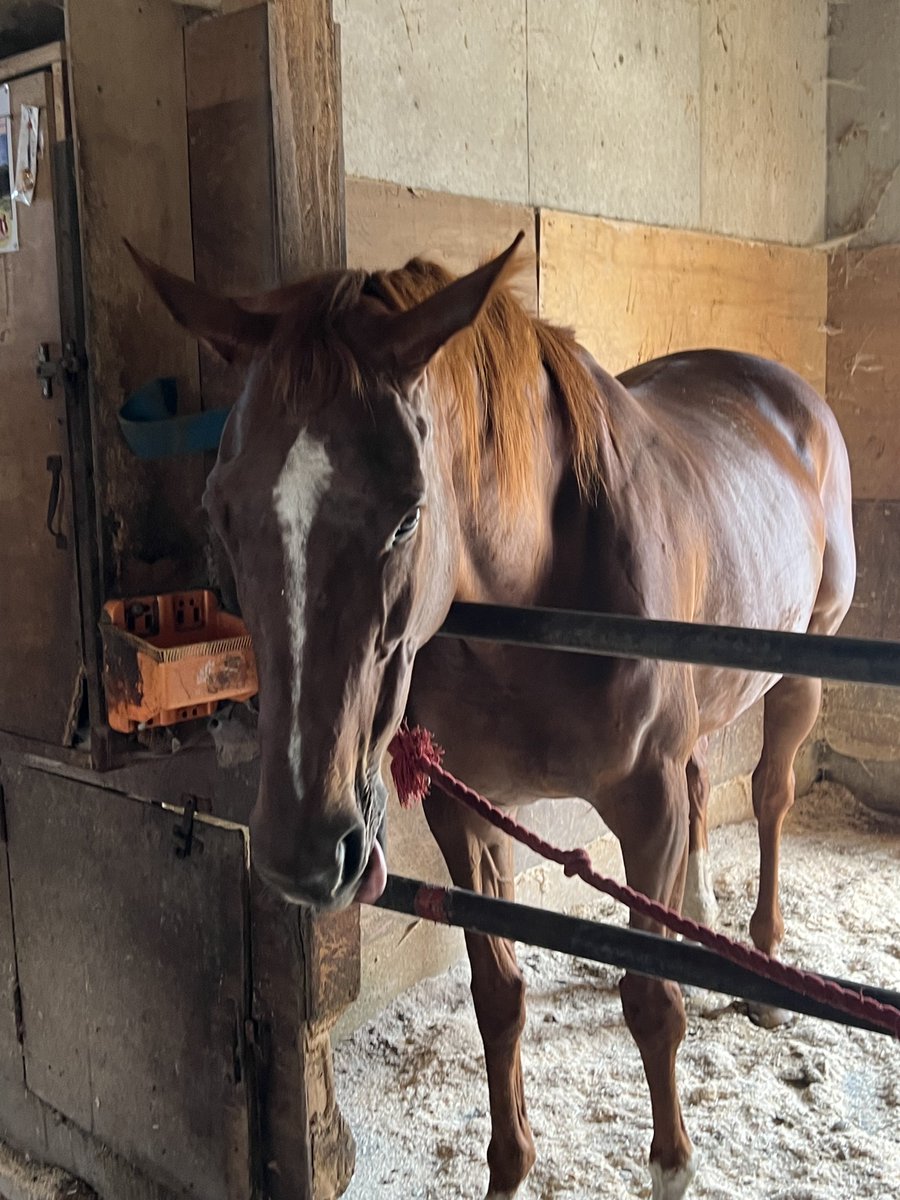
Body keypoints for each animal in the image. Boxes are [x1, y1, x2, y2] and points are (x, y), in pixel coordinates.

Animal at [127, 233, 855, 1200]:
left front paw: (671, 1166)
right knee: (710, 784)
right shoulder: (464, 809)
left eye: (408, 516)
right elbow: (497, 995)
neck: (539, 590)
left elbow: (649, 1002)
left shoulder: (647, 808)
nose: (301, 853)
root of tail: (785, 393)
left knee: (769, 796)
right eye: (221, 509)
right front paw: (510, 1169)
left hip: (800, 667)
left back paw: (762, 961)